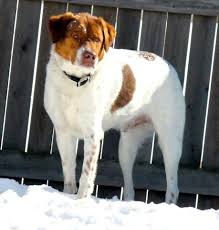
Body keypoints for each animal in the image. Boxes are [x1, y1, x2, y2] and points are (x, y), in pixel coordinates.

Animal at [44, 12, 185, 203]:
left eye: (97, 39)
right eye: (75, 35)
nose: (90, 56)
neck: (76, 82)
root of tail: (168, 66)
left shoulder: (93, 135)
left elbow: (86, 174)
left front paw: (81, 200)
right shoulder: (63, 132)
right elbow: (69, 174)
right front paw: (67, 196)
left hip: (170, 141)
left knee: (173, 187)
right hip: (126, 146)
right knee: (129, 187)